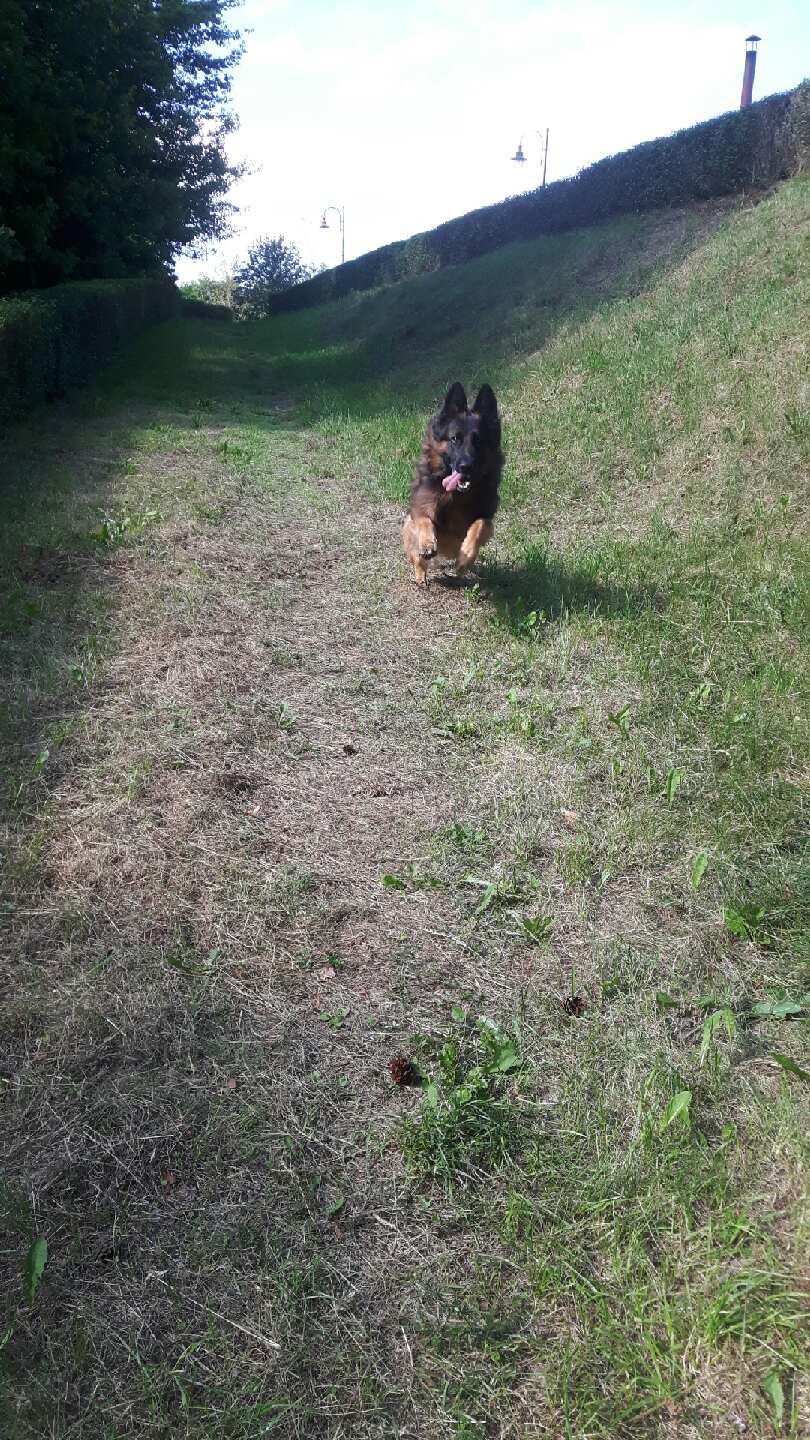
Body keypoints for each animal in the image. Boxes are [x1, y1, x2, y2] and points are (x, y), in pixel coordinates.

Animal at [402, 382, 503, 586]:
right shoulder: (420, 506)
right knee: (416, 557)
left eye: (478, 441)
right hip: (408, 527)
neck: (458, 495)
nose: (465, 466)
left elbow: (480, 525)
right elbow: (424, 519)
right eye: (455, 438)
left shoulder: (487, 517)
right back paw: (421, 574)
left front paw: (466, 557)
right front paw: (427, 543)